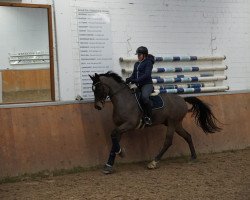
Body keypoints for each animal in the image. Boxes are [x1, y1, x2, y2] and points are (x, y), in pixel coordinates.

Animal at [88, 71, 221, 173]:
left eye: (99, 88)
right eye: (93, 89)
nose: (97, 106)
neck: (123, 99)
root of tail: (182, 99)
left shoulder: (129, 124)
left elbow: (113, 135)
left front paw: (121, 153)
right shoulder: (120, 126)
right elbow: (114, 140)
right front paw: (109, 164)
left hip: (172, 123)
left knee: (168, 141)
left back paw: (154, 162)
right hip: (176, 124)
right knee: (187, 136)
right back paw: (193, 157)